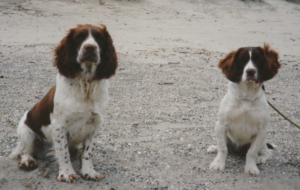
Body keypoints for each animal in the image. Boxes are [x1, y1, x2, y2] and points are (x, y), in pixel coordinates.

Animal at [9, 23, 117, 183]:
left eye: (100, 38)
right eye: (79, 37)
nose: (90, 48)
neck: (85, 84)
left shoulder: (96, 124)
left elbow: (88, 152)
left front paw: (88, 171)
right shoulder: (59, 125)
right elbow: (63, 153)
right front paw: (67, 173)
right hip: (26, 131)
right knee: (26, 150)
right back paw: (27, 161)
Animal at [207, 43, 280, 176]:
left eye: (258, 59)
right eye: (242, 59)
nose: (250, 71)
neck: (247, 96)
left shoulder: (262, 131)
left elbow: (252, 152)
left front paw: (251, 167)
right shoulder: (221, 125)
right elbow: (223, 148)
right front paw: (218, 164)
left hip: (263, 141)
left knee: (266, 152)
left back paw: (260, 158)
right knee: (225, 145)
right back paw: (214, 147)